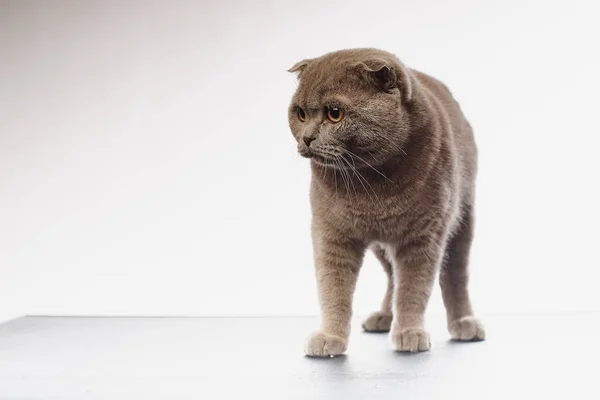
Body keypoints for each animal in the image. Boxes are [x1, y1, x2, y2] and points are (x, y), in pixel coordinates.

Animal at [288, 47, 488, 356]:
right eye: (299, 113)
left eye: (335, 114)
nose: (307, 138)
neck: (371, 185)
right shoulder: (332, 234)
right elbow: (333, 288)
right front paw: (329, 338)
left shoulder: (424, 237)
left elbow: (413, 288)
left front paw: (409, 333)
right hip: (382, 246)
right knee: (393, 276)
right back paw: (383, 317)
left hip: (461, 220)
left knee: (455, 274)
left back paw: (464, 322)